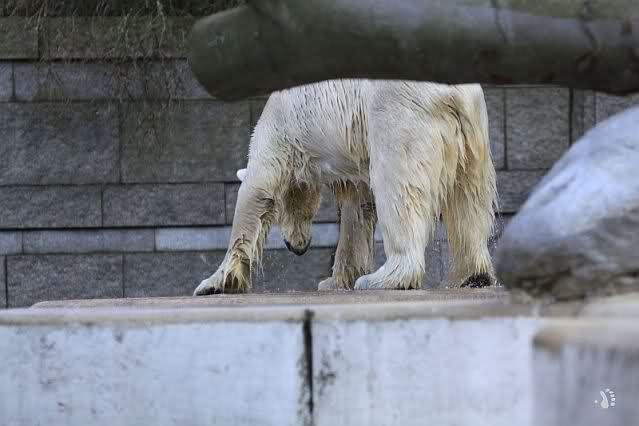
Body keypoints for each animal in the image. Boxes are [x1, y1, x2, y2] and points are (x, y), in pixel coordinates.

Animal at [193, 79, 498, 295]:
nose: (296, 248)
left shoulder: (279, 132)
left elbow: (257, 190)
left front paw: (215, 283)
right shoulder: (349, 164)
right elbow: (358, 210)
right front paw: (333, 281)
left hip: (400, 113)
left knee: (398, 185)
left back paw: (382, 279)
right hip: (473, 128)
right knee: (470, 196)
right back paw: (474, 275)